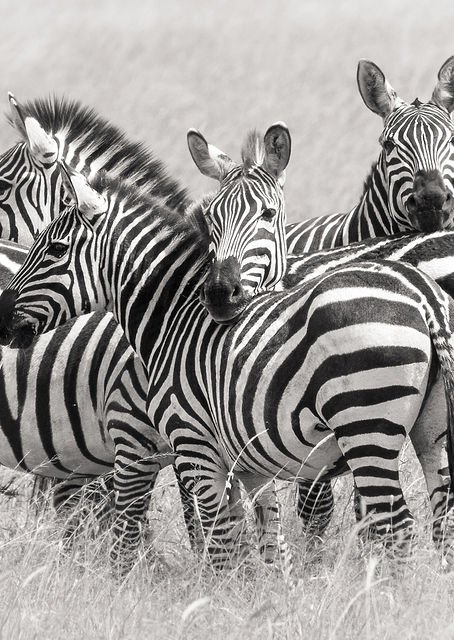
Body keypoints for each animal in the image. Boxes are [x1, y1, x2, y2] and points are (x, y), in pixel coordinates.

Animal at [2, 166, 454, 568]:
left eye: (56, 249)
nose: (2, 314)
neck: (174, 320)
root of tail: (422, 295)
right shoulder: (249, 463)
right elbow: (264, 542)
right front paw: (261, 598)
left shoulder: (187, 446)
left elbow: (215, 542)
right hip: (431, 432)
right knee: (440, 518)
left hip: (366, 427)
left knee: (396, 528)